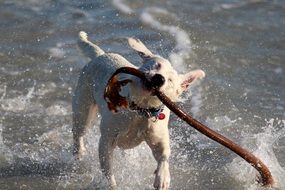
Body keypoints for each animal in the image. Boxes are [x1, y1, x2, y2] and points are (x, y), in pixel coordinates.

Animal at [72, 31, 203, 190]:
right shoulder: (107, 140)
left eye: (171, 80)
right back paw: (78, 153)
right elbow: (108, 169)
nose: (159, 78)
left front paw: (163, 178)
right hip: (83, 106)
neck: (141, 110)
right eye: (157, 65)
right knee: (79, 131)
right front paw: (112, 185)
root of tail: (100, 55)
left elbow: (164, 155)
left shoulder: (158, 138)